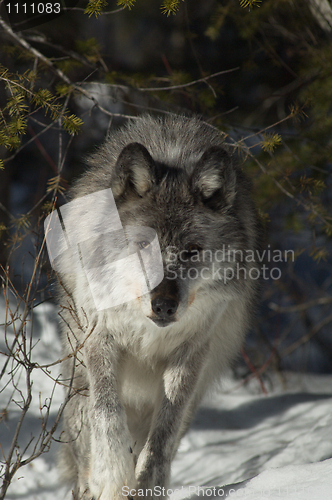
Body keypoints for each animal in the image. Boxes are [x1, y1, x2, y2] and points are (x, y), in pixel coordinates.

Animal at [54, 115, 262, 498]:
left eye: (192, 251)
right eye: (142, 245)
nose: (164, 306)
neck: (146, 330)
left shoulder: (190, 354)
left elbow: (162, 436)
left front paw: (147, 484)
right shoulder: (101, 339)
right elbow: (107, 413)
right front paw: (112, 475)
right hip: (76, 385)